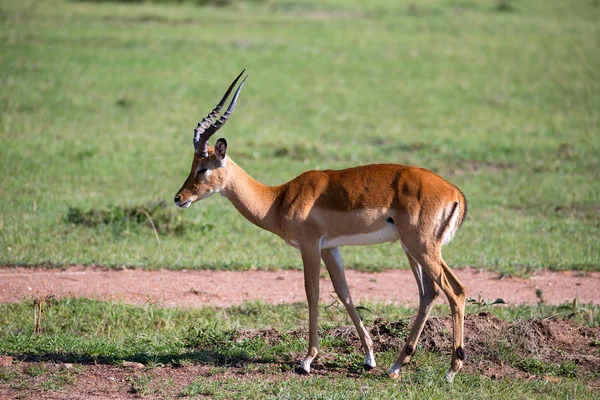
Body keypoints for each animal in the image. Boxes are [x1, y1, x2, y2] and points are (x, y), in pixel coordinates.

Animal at [173, 71, 468, 382]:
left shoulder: (310, 246)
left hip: (420, 247)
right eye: (192, 165)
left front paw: (307, 360)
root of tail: (456, 193)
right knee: (429, 293)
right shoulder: (331, 247)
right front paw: (369, 357)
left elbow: (311, 292)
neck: (277, 199)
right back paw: (397, 365)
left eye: (203, 168)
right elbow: (344, 292)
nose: (179, 198)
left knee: (456, 290)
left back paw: (451, 370)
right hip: (414, 249)